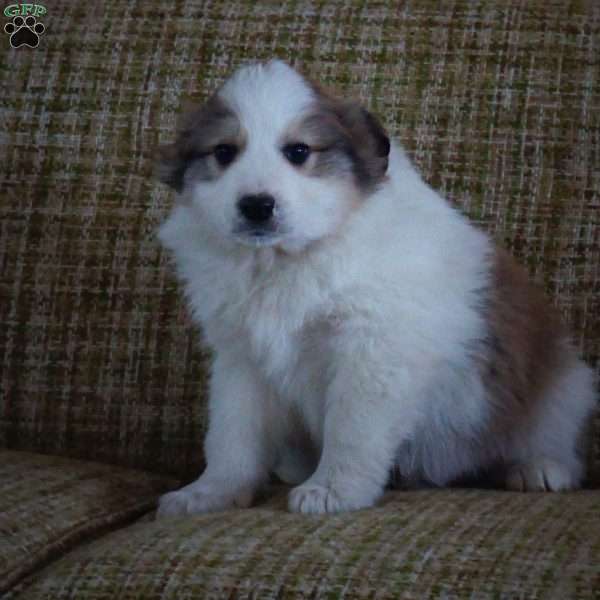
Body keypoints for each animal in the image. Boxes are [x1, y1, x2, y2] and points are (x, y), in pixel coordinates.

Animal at [155, 59, 596, 516]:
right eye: (224, 152)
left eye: (298, 152)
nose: (257, 205)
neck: (289, 259)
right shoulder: (241, 360)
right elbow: (232, 435)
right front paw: (210, 492)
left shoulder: (372, 352)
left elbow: (351, 429)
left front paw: (332, 490)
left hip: (565, 387)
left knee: (551, 436)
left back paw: (539, 468)